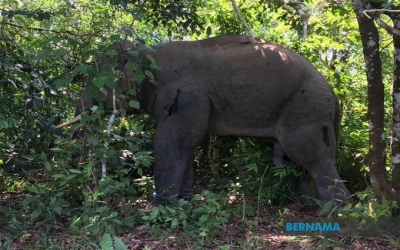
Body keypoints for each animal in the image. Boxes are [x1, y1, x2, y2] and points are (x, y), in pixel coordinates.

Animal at [56, 35, 350, 207]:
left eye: (96, 79)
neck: (148, 51)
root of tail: (334, 95)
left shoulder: (185, 94)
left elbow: (172, 142)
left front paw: (162, 207)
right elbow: (187, 144)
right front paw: (184, 202)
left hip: (307, 109)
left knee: (311, 156)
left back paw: (334, 213)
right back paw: (308, 204)